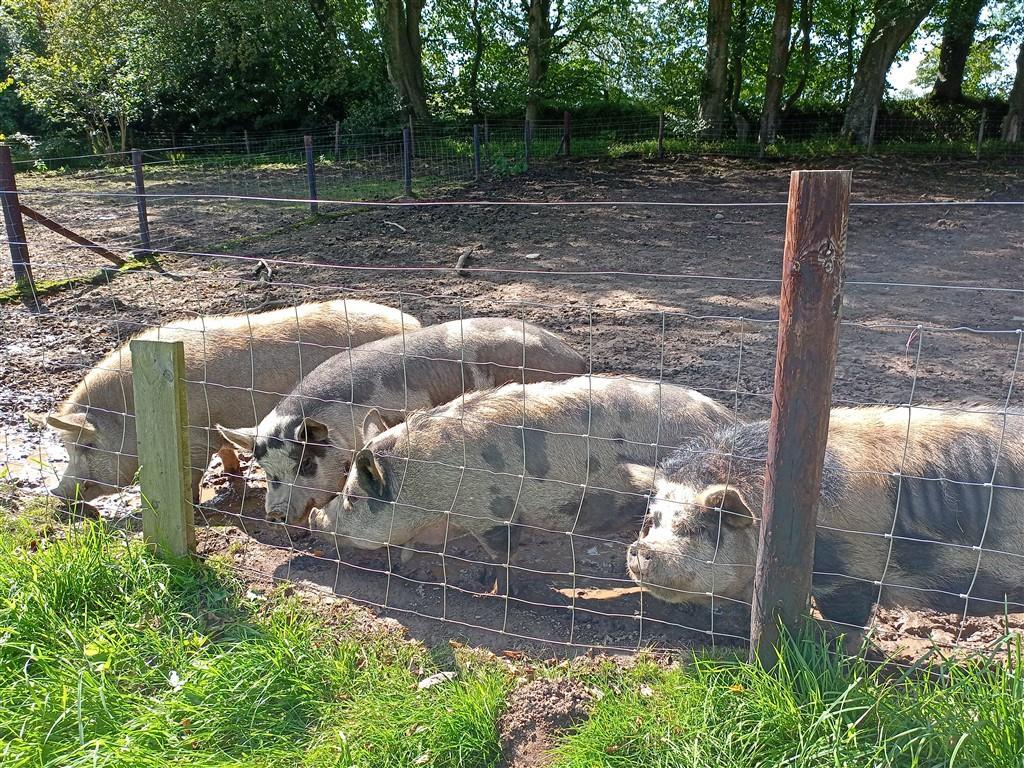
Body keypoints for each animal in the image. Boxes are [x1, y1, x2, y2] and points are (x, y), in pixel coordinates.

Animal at [27, 301, 419, 505]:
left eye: (87, 446)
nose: (57, 493)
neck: (134, 414)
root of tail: (411, 322)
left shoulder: (193, 437)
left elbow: (191, 473)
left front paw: (195, 503)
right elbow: (225, 448)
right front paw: (231, 476)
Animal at [311, 372, 737, 589]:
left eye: (352, 498)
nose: (314, 518)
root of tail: (726, 417)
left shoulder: (493, 515)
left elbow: (503, 554)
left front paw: (496, 589)